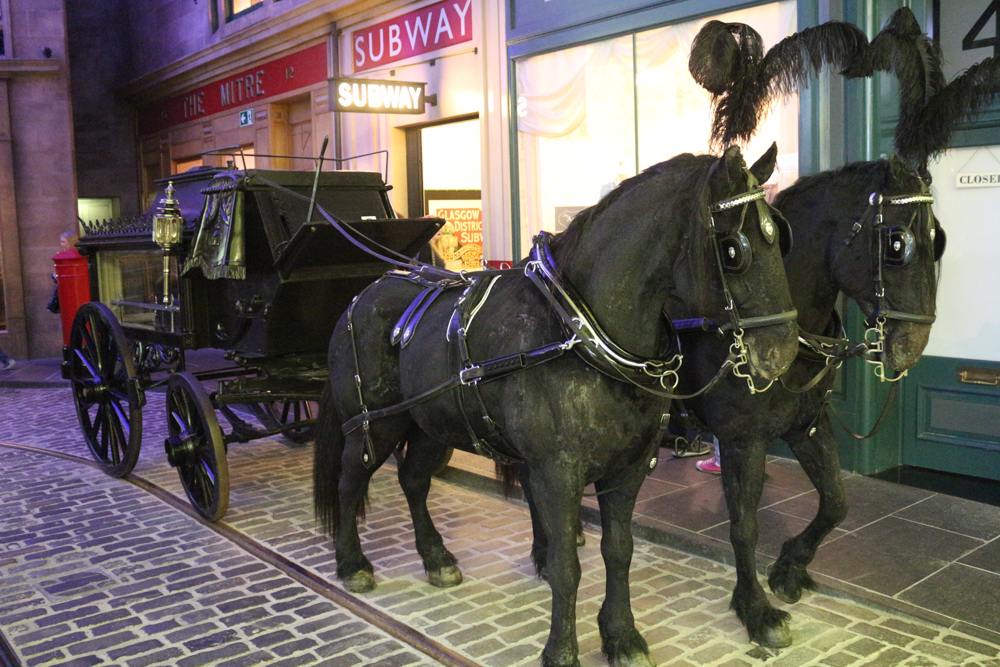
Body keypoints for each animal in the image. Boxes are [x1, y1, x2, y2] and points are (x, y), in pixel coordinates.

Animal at [312, 146, 796, 667]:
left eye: (780, 236)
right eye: (734, 250)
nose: (782, 352)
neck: (579, 332)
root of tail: (363, 295)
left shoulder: (628, 468)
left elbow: (619, 550)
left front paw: (621, 636)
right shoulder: (556, 471)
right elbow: (568, 564)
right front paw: (562, 649)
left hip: (432, 425)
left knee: (415, 480)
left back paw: (436, 558)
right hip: (374, 425)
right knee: (350, 480)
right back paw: (352, 564)